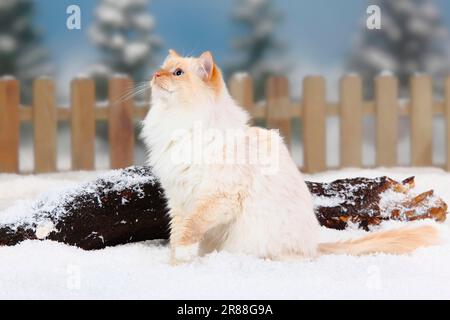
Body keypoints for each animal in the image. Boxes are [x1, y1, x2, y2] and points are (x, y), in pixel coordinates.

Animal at [142, 50, 440, 264]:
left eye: (177, 73)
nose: (154, 74)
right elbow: (178, 232)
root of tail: (315, 247)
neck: (177, 126)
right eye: (162, 68)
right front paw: (176, 264)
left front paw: (181, 257)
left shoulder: (218, 196)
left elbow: (190, 229)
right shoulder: (178, 199)